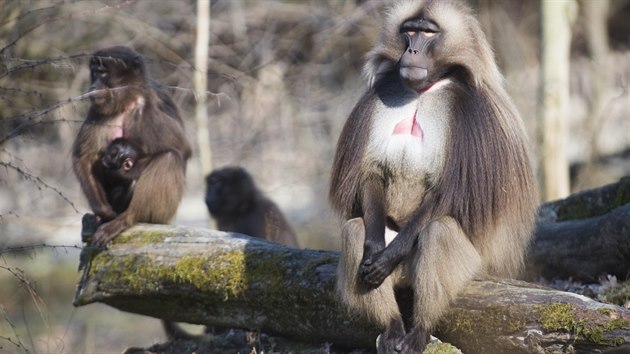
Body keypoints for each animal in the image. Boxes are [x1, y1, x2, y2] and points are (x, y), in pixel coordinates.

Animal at [73, 46, 191, 246]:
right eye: (94, 73)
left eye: (103, 73)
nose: (93, 87)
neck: (128, 100)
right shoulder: (98, 109)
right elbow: (84, 157)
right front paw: (104, 211)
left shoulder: (149, 110)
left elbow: (182, 150)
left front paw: (123, 172)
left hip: (161, 214)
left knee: (169, 158)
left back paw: (126, 219)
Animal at [328, 1, 540, 352]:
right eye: (409, 30)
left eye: (428, 33)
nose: (412, 50)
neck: (423, 92)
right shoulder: (384, 93)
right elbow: (369, 175)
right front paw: (375, 252)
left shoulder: (472, 115)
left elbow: (450, 193)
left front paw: (389, 257)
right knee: (356, 229)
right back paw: (393, 328)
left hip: (474, 267)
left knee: (438, 230)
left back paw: (419, 333)